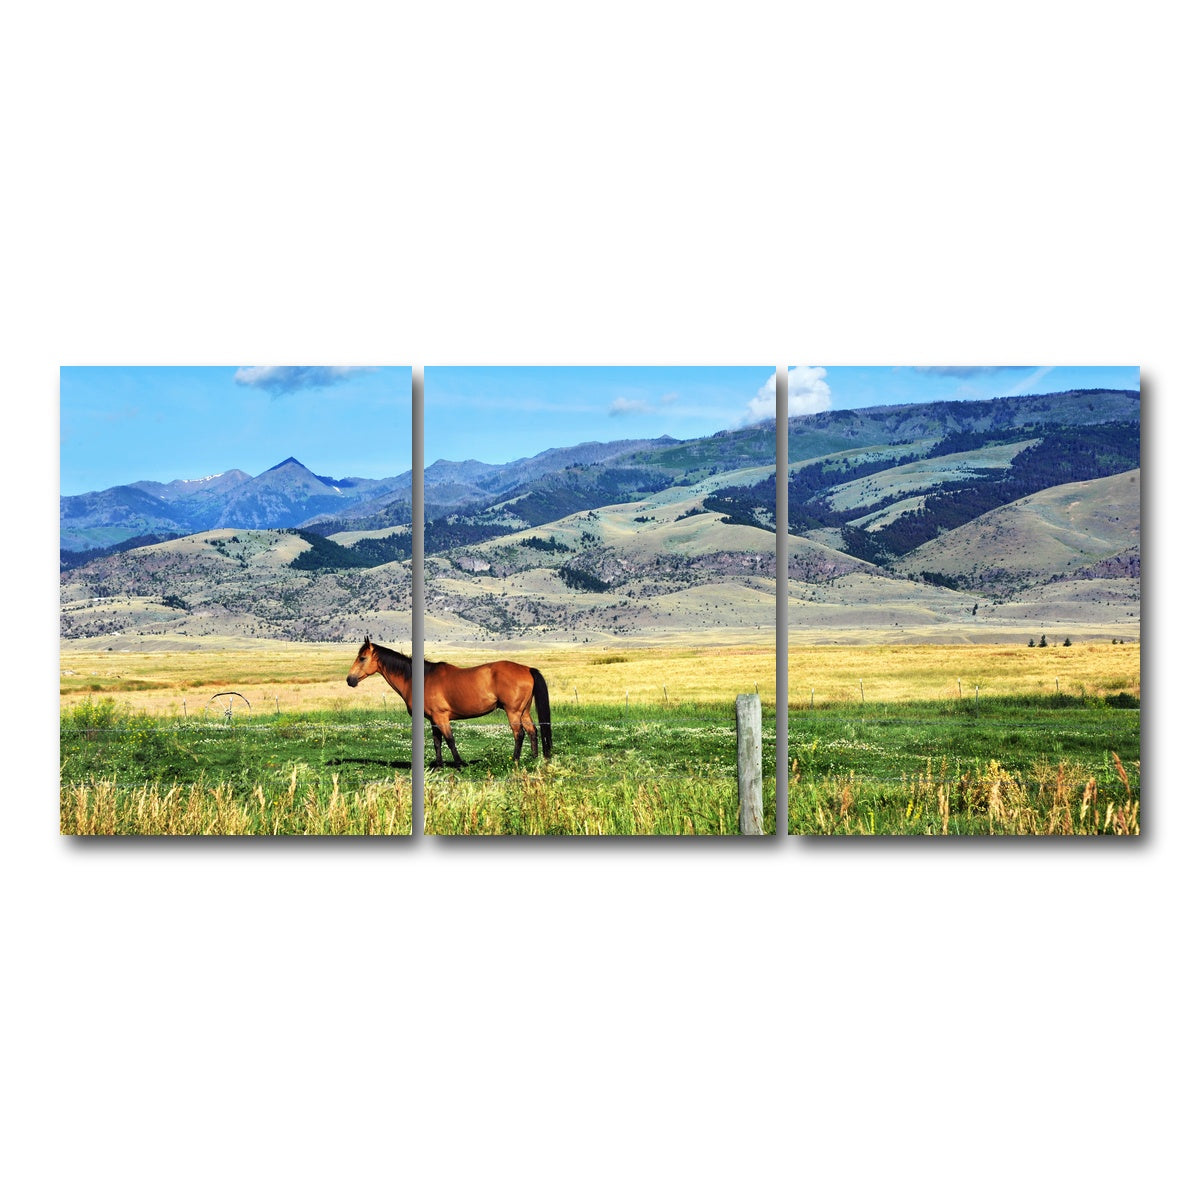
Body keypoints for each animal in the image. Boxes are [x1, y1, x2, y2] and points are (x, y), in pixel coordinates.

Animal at [345, 635, 552, 768]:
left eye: (362, 658)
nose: (350, 680)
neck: (422, 679)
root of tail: (527, 669)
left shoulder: (441, 717)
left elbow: (450, 740)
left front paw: (459, 764)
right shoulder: (433, 719)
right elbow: (437, 742)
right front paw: (439, 765)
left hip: (513, 712)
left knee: (519, 734)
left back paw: (514, 760)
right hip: (524, 711)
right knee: (533, 732)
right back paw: (533, 759)